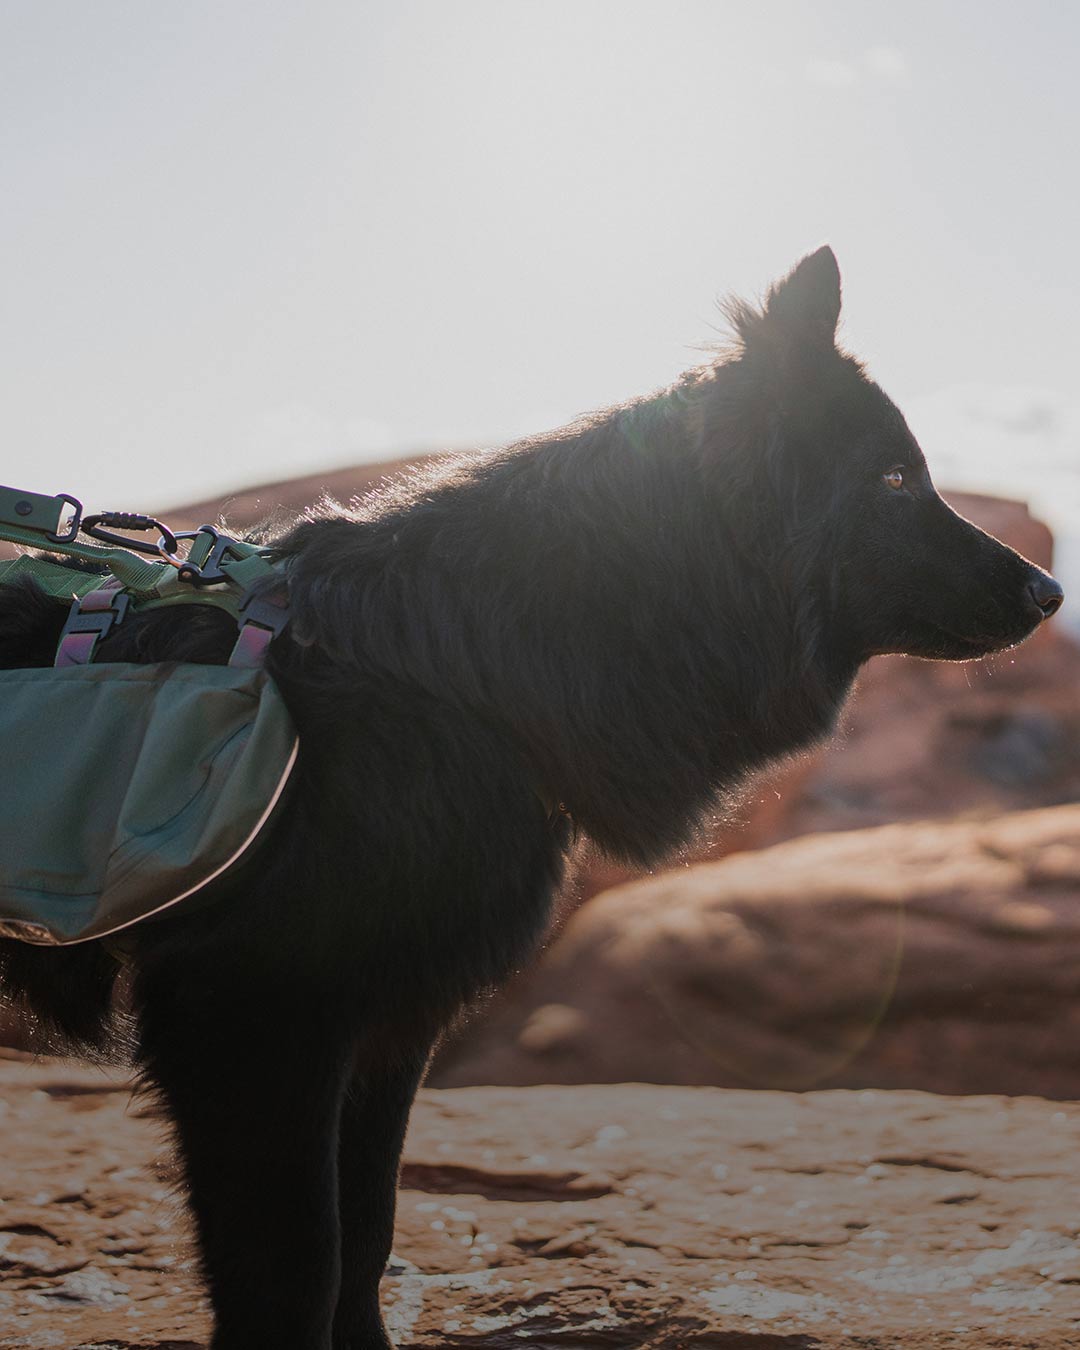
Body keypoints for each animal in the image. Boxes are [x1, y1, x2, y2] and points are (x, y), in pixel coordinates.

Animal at [0, 248, 1063, 1344]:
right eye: (894, 479)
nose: (1049, 592)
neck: (455, 676)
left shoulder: (386, 1026)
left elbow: (364, 1240)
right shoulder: (249, 1024)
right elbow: (296, 1270)